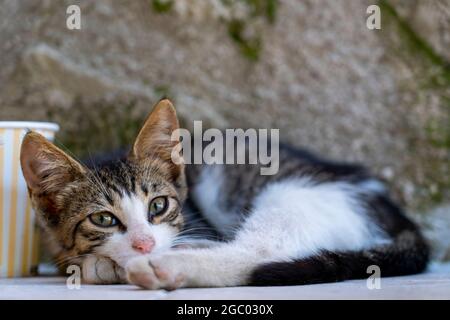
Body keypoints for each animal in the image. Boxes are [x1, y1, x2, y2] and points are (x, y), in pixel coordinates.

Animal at [20, 99, 428, 288]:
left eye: (158, 205)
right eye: (103, 218)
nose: (144, 244)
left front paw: (111, 265)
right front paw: (100, 264)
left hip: (288, 192)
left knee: (259, 251)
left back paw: (169, 266)